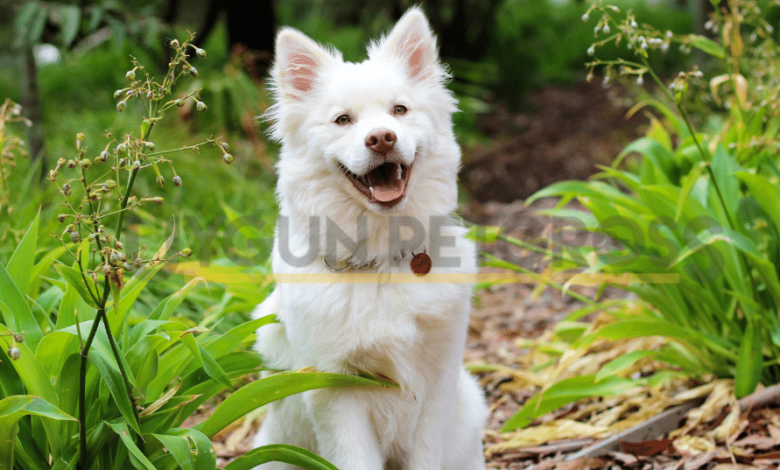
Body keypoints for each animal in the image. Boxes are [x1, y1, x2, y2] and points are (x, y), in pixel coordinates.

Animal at [253, 7, 488, 470]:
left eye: (399, 110)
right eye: (343, 119)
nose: (381, 138)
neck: (381, 260)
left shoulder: (437, 382)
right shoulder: (335, 392)